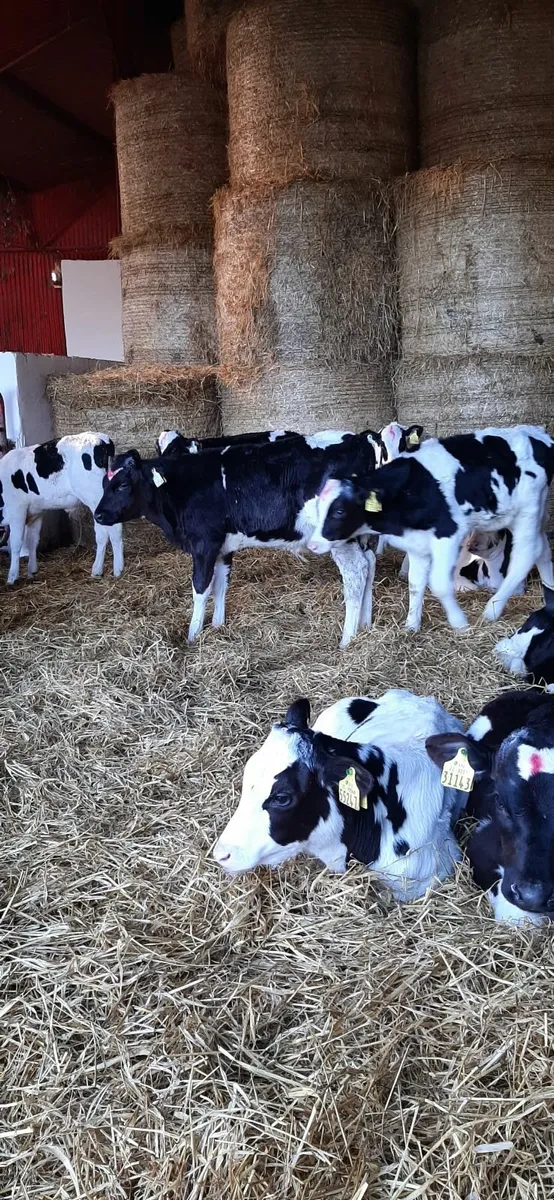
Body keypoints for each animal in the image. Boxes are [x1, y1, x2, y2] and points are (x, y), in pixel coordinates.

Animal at [0, 433, 124, 584]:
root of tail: (101, 439)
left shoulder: (17, 510)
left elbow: (16, 543)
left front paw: (12, 577)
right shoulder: (36, 512)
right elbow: (32, 541)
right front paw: (32, 571)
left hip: (96, 497)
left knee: (113, 529)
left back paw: (118, 570)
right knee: (102, 533)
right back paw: (97, 570)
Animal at [94, 433, 384, 646]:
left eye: (123, 485)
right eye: (103, 485)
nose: (98, 515)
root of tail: (359, 439)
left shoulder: (204, 544)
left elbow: (201, 588)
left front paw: (192, 635)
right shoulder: (224, 546)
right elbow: (222, 584)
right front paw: (218, 626)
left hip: (340, 539)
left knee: (356, 574)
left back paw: (347, 639)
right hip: (362, 536)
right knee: (369, 564)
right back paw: (365, 625)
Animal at [308, 425, 554, 632]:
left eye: (339, 511)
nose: (313, 544)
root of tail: (537, 433)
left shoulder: (448, 536)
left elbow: (439, 584)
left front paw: (459, 622)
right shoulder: (417, 544)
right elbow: (415, 584)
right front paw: (411, 626)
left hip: (527, 512)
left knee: (525, 556)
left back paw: (492, 609)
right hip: (537, 512)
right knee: (543, 550)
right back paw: (549, 589)